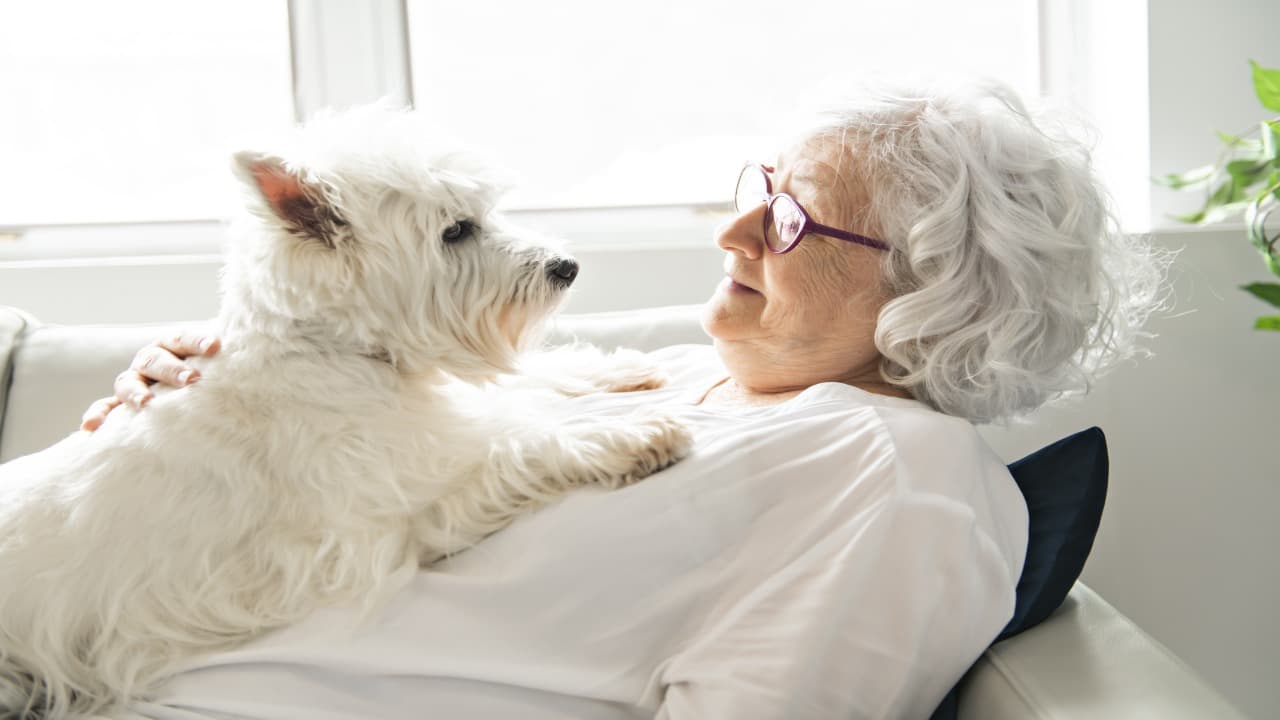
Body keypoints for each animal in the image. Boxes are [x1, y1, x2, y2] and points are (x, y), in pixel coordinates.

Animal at [0, 103, 691, 712]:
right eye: (455, 230)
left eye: (482, 214)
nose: (566, 266)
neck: (332, 347)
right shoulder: (399, 506)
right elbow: (525, 440)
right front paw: (633, 435)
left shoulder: (431, 422)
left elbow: (518, 388)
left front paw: (616, 370)